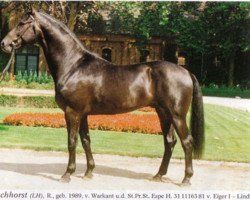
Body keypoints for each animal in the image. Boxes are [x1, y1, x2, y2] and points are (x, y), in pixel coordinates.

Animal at [0, 8, 203, 185]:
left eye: (21, 23)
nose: (4, 44)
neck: (73, 66)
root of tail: (186, 72)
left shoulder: (72, 112)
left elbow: (72, 142)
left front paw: (67, 174)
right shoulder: (82, 114)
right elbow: (86, 141)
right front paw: (89, 172)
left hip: (177, 115)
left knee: (187, 142)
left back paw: (186, 179)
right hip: (163, 114)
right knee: (170, 142)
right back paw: (158, 175)